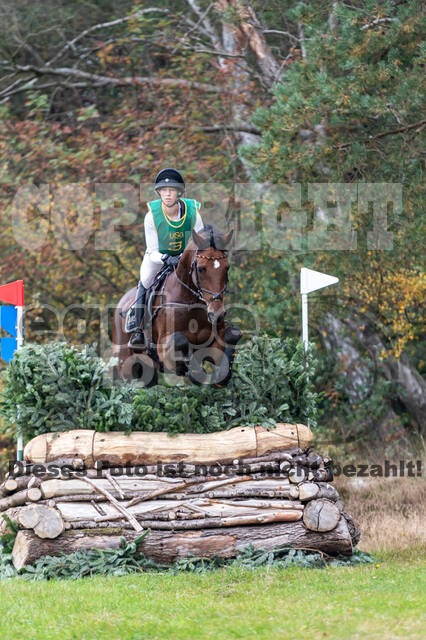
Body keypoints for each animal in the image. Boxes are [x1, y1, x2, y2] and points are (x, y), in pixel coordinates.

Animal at [111, 224, 241, 384]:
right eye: (201, 269)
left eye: (227, 267)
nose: (216, 314)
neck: (190, 303)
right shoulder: (163, 349)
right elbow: (179, 340)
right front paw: (192, 371)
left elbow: (232, 336)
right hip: (125, 365)